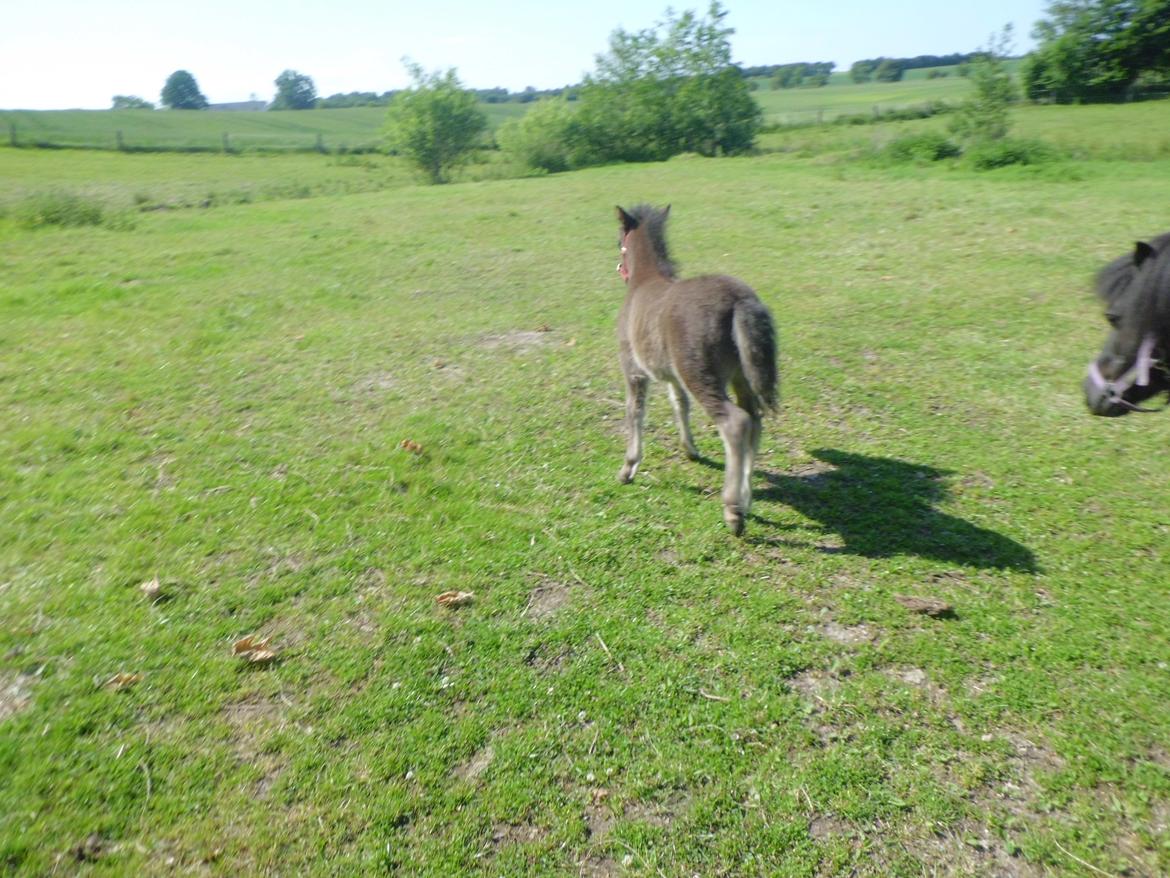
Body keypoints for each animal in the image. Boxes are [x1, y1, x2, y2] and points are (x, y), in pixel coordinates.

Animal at [613, 206, 776, 536]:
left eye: (618, 240)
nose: (618, 268)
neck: (643, 282)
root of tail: (740, 299)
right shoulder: (673, 376)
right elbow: (680, 405)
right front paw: (690, 449)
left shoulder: (633, 369)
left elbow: (634, 412)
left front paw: (628, 468)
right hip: (738, 376)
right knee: (754, 420)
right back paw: (746, 499)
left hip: (700, 374)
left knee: (736, 423)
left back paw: (733, 511)